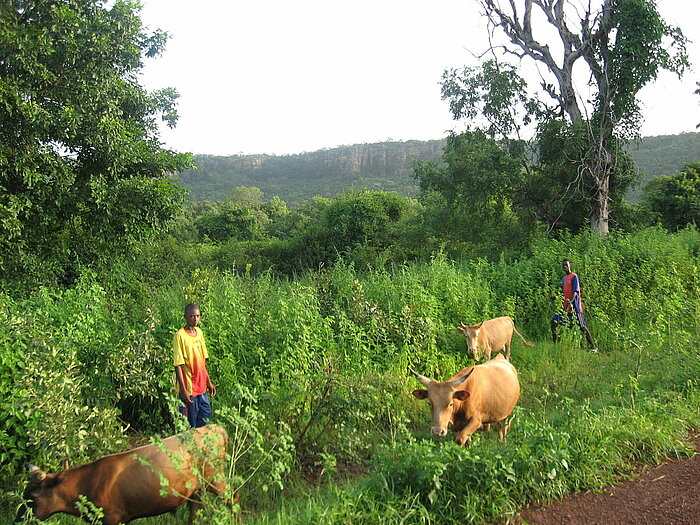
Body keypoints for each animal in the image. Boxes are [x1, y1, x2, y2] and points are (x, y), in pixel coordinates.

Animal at [16, 424, 232, 524]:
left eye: (33, 497)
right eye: (24, 495)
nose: (18, 520)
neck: (87, 482)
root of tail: (213, 427)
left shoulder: (112, 518)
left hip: (216, 480)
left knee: (233, 497)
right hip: (196, 490)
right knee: (194, 513)